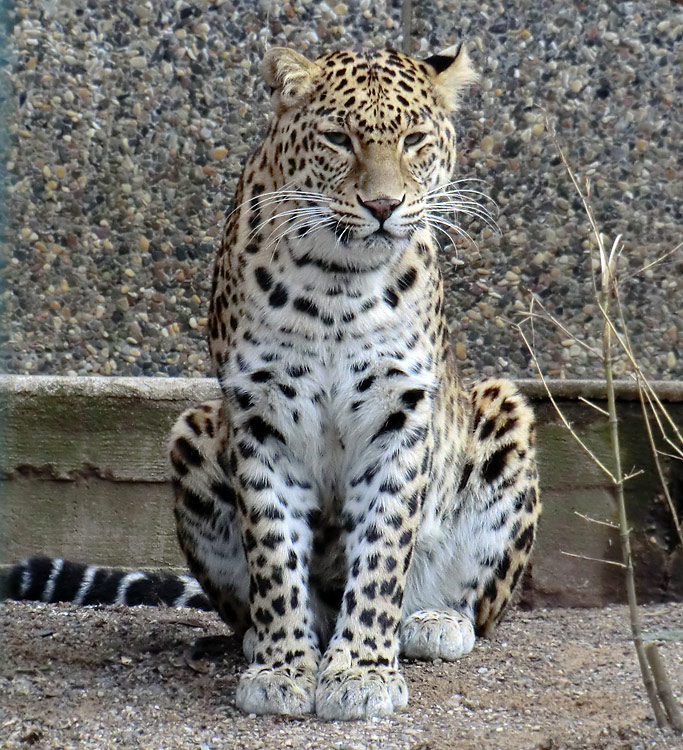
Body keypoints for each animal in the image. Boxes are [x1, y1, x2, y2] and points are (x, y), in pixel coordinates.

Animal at [4, 45, 540, 724]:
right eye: (339, 139)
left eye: (415, 140)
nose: (384, 206)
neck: (340, 282)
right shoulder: (260, 415)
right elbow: (273, 552)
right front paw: (284, 667)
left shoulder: (401, 414)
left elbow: (383, 550)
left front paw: (362, 670)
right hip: (193, 429)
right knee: (250, 605)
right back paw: (272, 638)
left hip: (504, 407)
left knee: (481, 603)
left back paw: (434, 621)